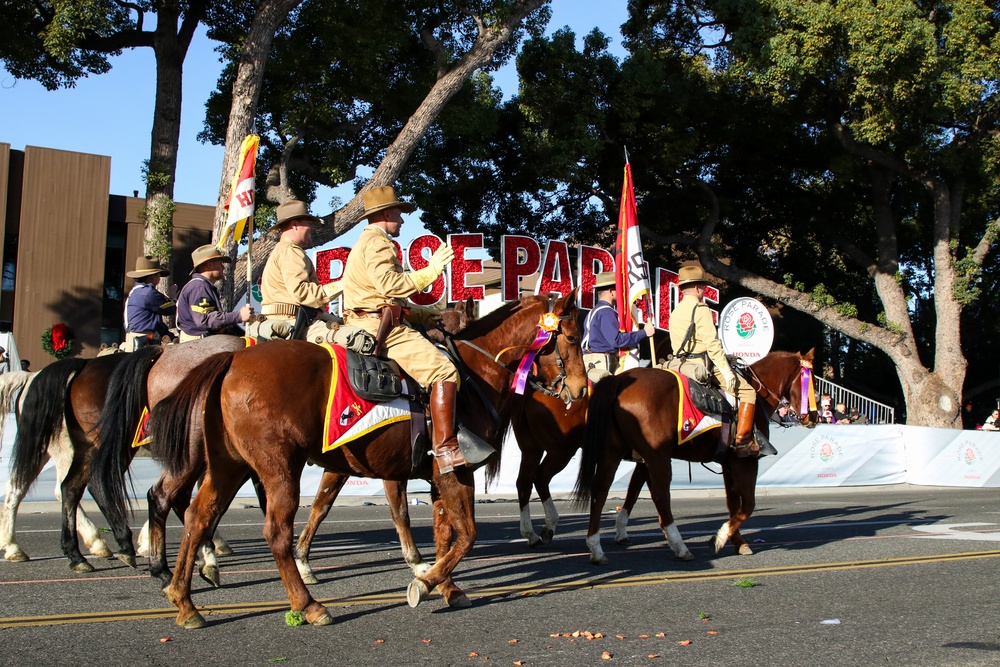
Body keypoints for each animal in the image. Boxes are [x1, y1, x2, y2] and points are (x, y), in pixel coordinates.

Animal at [145, 294, 588, 632]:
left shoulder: (435, 476)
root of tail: (230, 362)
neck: (472, 378)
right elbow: (466, 535)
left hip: (228, 466)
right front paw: (425, 583)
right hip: (277, 468)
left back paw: (184, 600)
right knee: (273, 531)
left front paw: (446, 586)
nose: (582, 389)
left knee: (198, 516)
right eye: (570, 337)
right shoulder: (456, 471)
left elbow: (445, 534)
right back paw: (308, 605)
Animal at [576, 352, 816, 568]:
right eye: (810, 381)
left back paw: (596, 549)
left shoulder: (728, 464)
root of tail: (618, 380)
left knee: (600, 492)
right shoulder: (745, 462)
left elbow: (733, 504)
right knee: (661, 496)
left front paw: (738, 542)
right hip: (657, 456)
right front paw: (719, 538)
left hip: (613, 452)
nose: (813, 417)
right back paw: (680, 546)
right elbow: (748, 504)